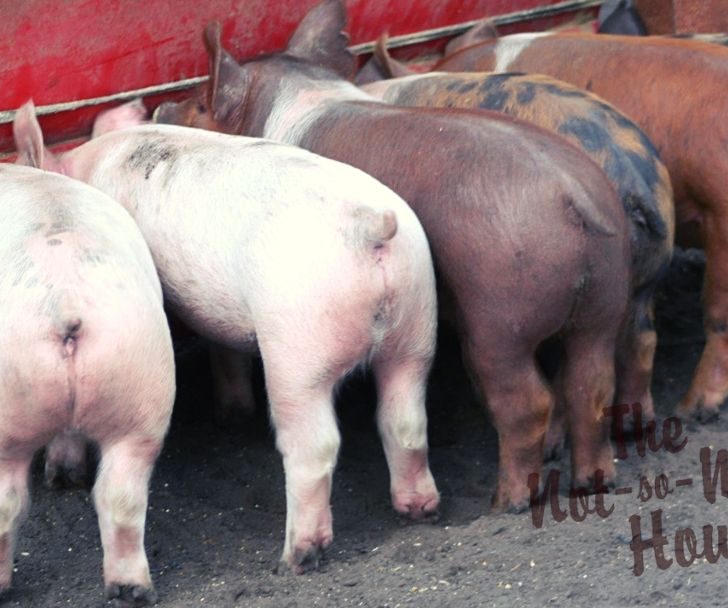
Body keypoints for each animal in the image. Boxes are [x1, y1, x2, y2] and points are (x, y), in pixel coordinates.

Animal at [12, 102, 438, 572]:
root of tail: (371, 227)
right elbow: (223, 347)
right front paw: (232, 414)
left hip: (300, 344)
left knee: (314, 447)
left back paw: (295, 557)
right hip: (417, 322)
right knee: (406, 421)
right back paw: (420, 509)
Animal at [155, 0, 632, 510]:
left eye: (200, 103)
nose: (161, 105)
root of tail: (572, 196)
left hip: (500, 311)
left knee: (529, 402)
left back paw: (507, 500)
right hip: (605, 298)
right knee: (592, 385)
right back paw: (595, 481)